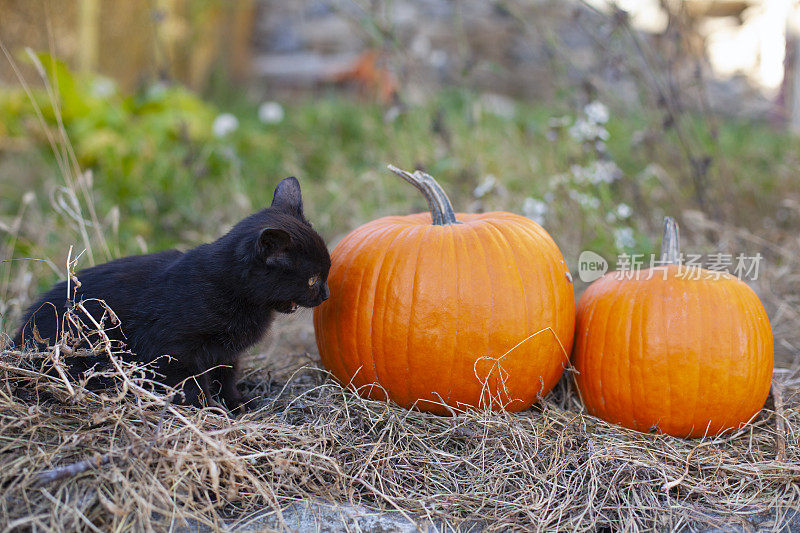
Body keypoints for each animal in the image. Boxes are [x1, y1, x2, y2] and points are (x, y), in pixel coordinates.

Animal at [10, 177, 328, 410]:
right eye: (312, 279)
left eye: (326, 272)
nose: (325, 295)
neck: (229, 288)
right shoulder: (174, 349)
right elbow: (189, 384)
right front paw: (206, 409)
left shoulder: (226, 353)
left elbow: (226, 376)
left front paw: (236, 403)